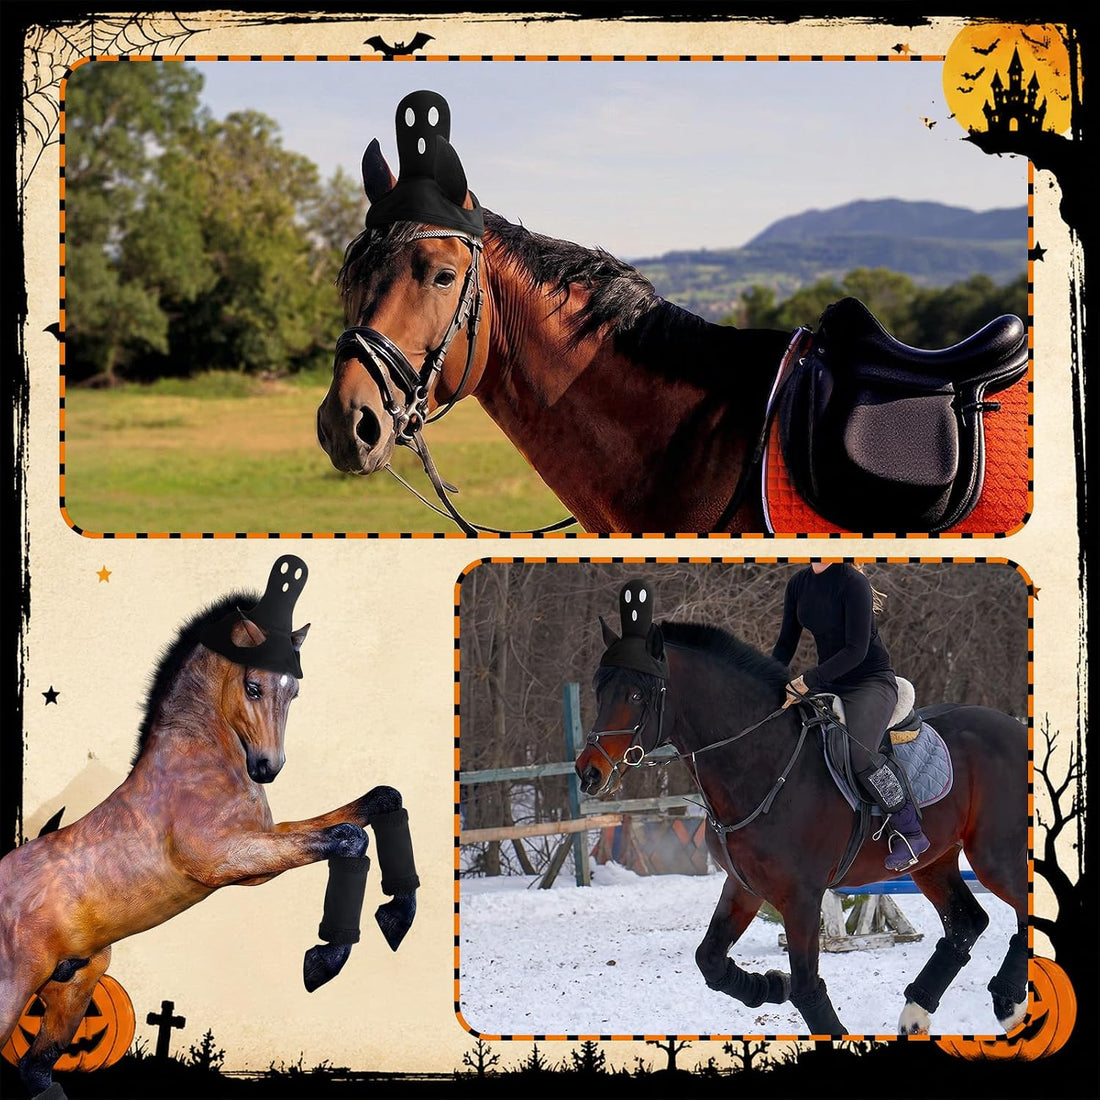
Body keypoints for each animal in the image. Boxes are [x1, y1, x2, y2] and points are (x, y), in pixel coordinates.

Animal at [0, 560, 417, 1099]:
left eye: (294, 690)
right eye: (253, 686)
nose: (267, 767)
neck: (202, 763)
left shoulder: (261, 847)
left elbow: (378, 802)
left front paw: (397, 915)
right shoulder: (223, 859)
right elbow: (349, 837)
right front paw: (324, 960)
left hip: (73, 983)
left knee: (37, 1069)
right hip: (13, 989)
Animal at [574, 589, 1028, 1037]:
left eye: (637, 695)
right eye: (599, 690)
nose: (589, 772)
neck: (762, 765)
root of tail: (1016, 728)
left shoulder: (801, 897)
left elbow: (808, 987)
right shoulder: (744, 886)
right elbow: (711, 961)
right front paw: (772, 985)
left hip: (995, 856)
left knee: (1022, 910)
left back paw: (1007, 1002)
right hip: (934, 860)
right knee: (966, 922)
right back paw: (920, 1013)